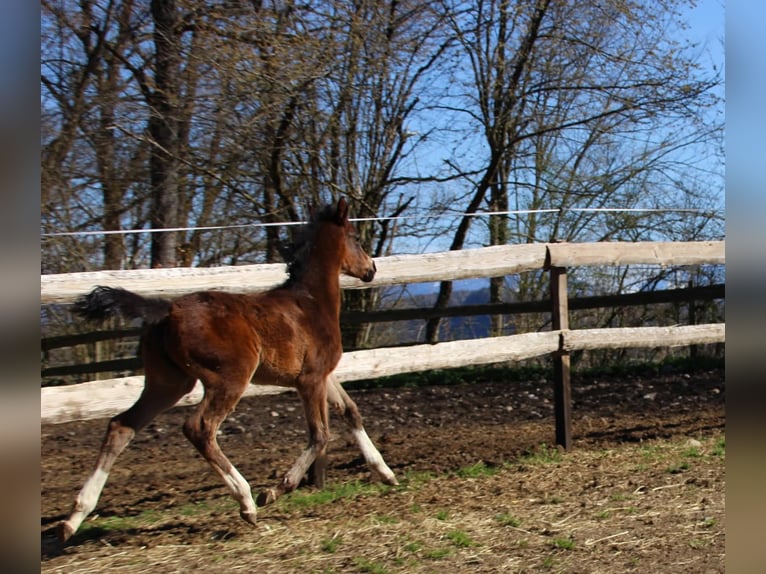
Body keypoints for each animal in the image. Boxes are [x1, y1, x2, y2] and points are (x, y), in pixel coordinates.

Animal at [58, 198, 398, 543]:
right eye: (355, 237)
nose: (371, 269)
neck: (311, 301)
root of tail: (167, 309)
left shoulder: (321, 375)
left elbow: (350, 411)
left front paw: (385, 473)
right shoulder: (310, 379)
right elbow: (320, 434)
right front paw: (274, 490)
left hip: (168, 383)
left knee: (121, 426)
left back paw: (75, 517)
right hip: (229, 379)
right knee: (199, 427)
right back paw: (246, 501)